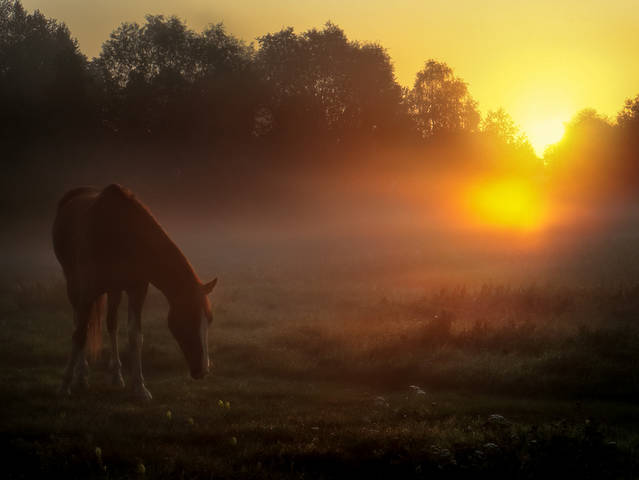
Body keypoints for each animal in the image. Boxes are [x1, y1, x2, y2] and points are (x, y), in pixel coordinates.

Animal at [52, 182, 218, 400]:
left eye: (209, 320)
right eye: (188, 319)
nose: (203, 370)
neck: (122, 234)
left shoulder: (137, 290)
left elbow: (135, 336)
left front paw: (139, 387)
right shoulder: (87, 290)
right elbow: (79, 333)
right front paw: (65, 385)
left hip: (114, 290)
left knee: (111, 324)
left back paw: (116, 375)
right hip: (73, 283)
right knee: (79, 322)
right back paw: (81, 375)